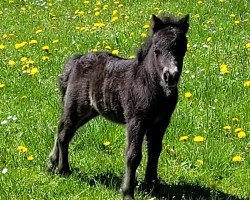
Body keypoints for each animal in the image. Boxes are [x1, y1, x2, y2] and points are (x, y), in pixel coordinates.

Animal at [47, 14, 189, 200]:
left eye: (183, 49)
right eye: (156, 50)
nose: (170, 76)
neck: (150, 84)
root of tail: (78, 60)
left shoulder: (161, 122)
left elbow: (155, 151)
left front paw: (152, 186)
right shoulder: (136, 121)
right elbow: (133, 155)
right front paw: (127, 192)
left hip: (89, 112)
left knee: (62, 130)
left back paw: (51, 164)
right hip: (76, 106)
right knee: (64, 133)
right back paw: (63, 169)